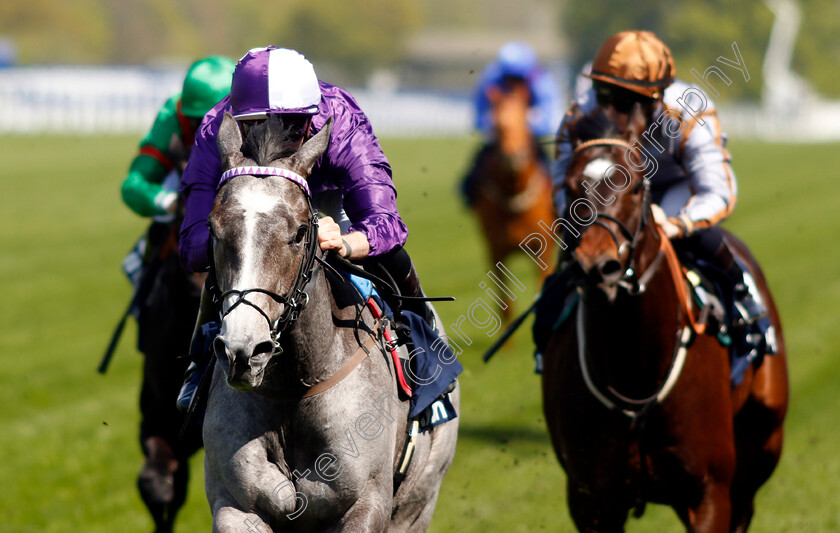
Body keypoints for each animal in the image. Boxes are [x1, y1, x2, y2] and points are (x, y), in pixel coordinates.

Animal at [202, 110, 460, 528]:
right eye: (213, 228)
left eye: (300, 232)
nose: (243, 351)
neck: (295, 386)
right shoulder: (236, 506)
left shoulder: (365, 505)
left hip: (419, 500)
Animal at [466, 79, 556, 320]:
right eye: (497, 126)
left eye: (523, 120)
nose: (512, 158)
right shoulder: (496, 252)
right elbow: (505, 307)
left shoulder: (543, 252)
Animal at [540, 108, 792, 532]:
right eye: (572, 187)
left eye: (634, 186)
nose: (596, 268)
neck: (636, 373)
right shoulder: (592, 500)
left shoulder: (709, 491)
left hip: (762, 443)